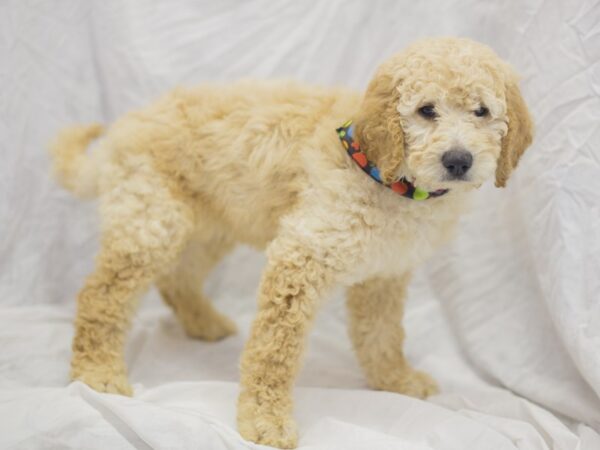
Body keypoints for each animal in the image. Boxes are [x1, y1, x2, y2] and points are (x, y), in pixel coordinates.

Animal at [49, 37, 532, 448]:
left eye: (481, 111)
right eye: (426, 110)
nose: (458, 160)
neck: (381, 172)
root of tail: (122, 128)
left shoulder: (384, 274)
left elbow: (382, 334)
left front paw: (396, 380)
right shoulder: (300, 254)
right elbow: (273, 351)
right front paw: (265, 421)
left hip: (208, 226)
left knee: (177, 279)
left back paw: (204, 323)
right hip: (150, 220)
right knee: (100, 295)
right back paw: (97, 373)